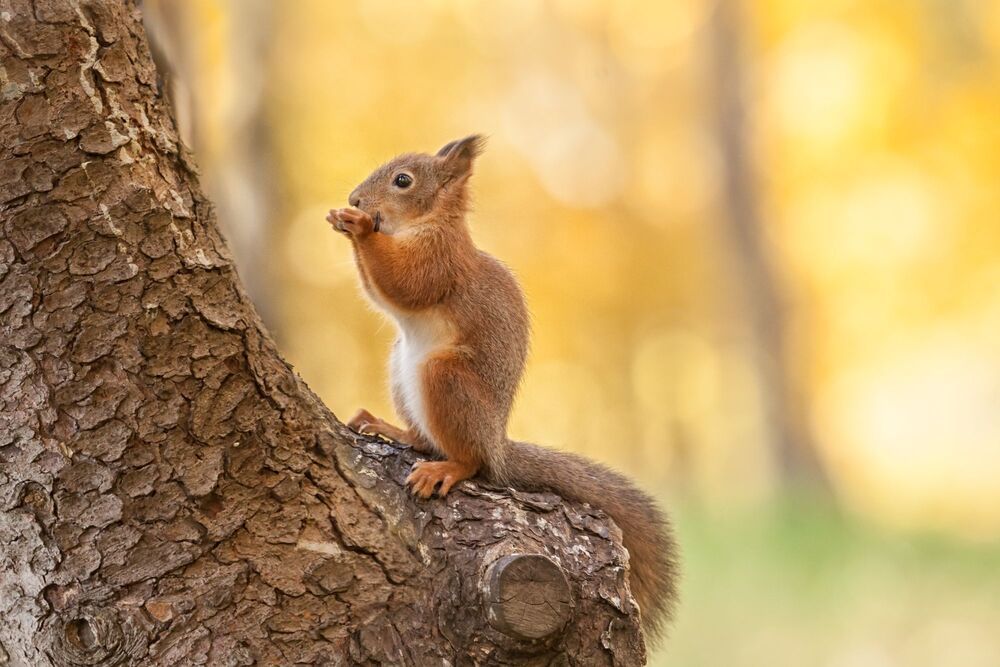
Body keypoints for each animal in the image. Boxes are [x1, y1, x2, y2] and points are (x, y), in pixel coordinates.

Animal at [327, 135, 677, 641]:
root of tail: (496, 441)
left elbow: (407, 285)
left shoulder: (441, 259)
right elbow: (382, 292)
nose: (356, 200)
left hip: (446, 378)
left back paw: (447, 468)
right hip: (400, 370)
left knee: (468, 458)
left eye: (402, 181)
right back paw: (388, 429)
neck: (427, 222)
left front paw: (358, 228)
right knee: (423, 439)